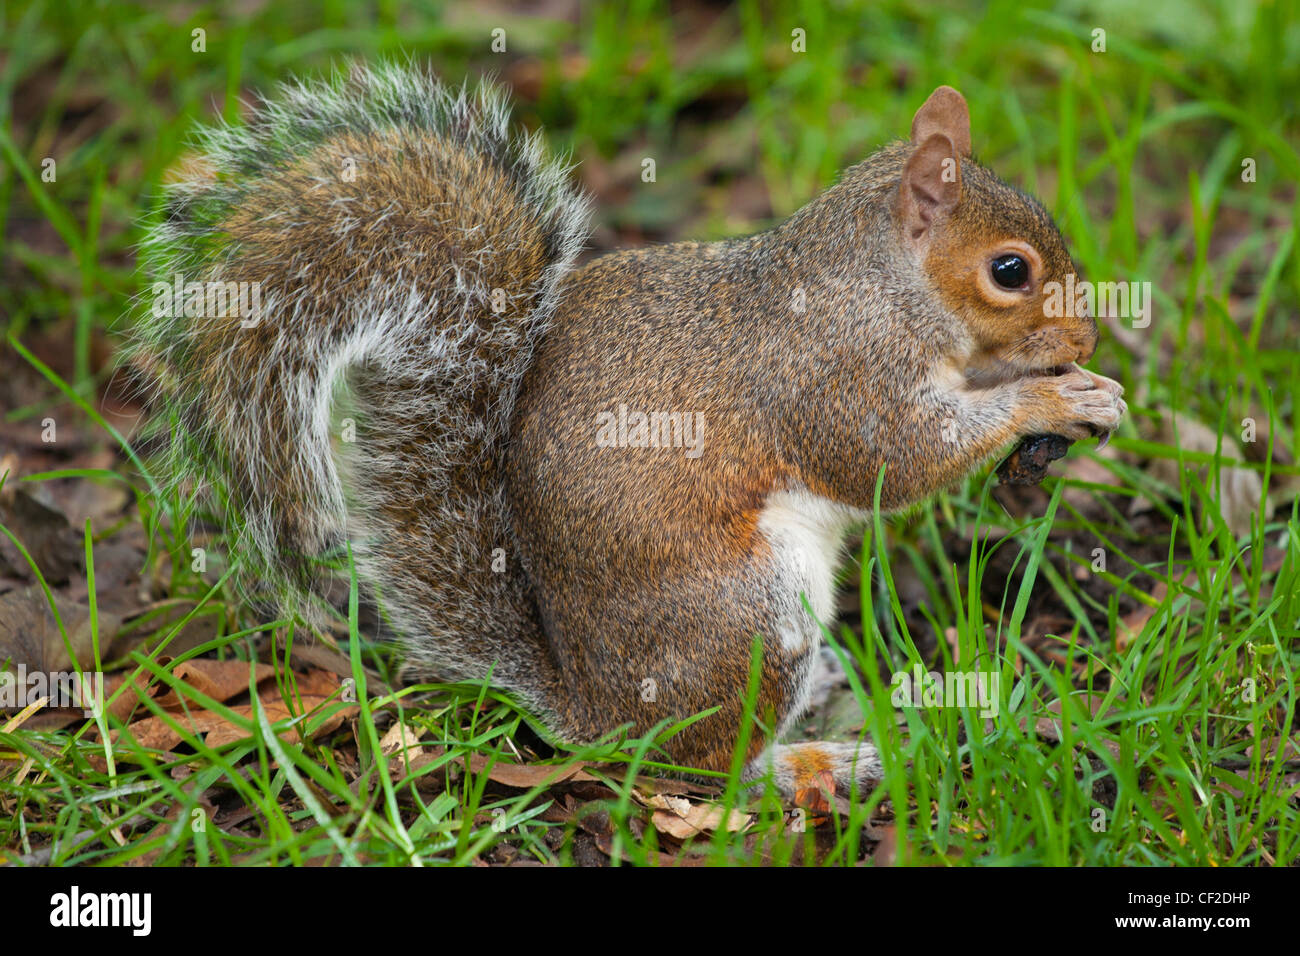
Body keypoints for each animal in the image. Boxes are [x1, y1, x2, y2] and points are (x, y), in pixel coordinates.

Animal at [134, 61, 1128, 801]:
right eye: (1010, 271)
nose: (1085, 338)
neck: (884, 283)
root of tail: (590, 714)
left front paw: (1091, 390)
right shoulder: (836, 375)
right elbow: (894, 460)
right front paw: (1052, 401)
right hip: (749, 617)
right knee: (705, 767)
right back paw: (816, 763)